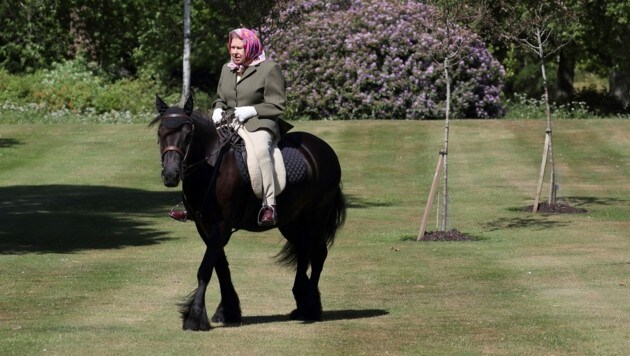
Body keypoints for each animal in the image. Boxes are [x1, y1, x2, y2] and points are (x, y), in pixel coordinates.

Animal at [151, 95, 348, 330]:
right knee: (303, 250)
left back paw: (311, 308)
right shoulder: (204, 226)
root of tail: (323, 148)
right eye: (160, 133)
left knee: (318, 254)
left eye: (189, 134)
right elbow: (221, 267)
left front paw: (195, 317)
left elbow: (205, 269)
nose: (171, 175)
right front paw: (228, 311)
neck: (211, 166)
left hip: (317, 215)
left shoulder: (221, 226)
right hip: (291, 221)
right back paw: (301, 303)